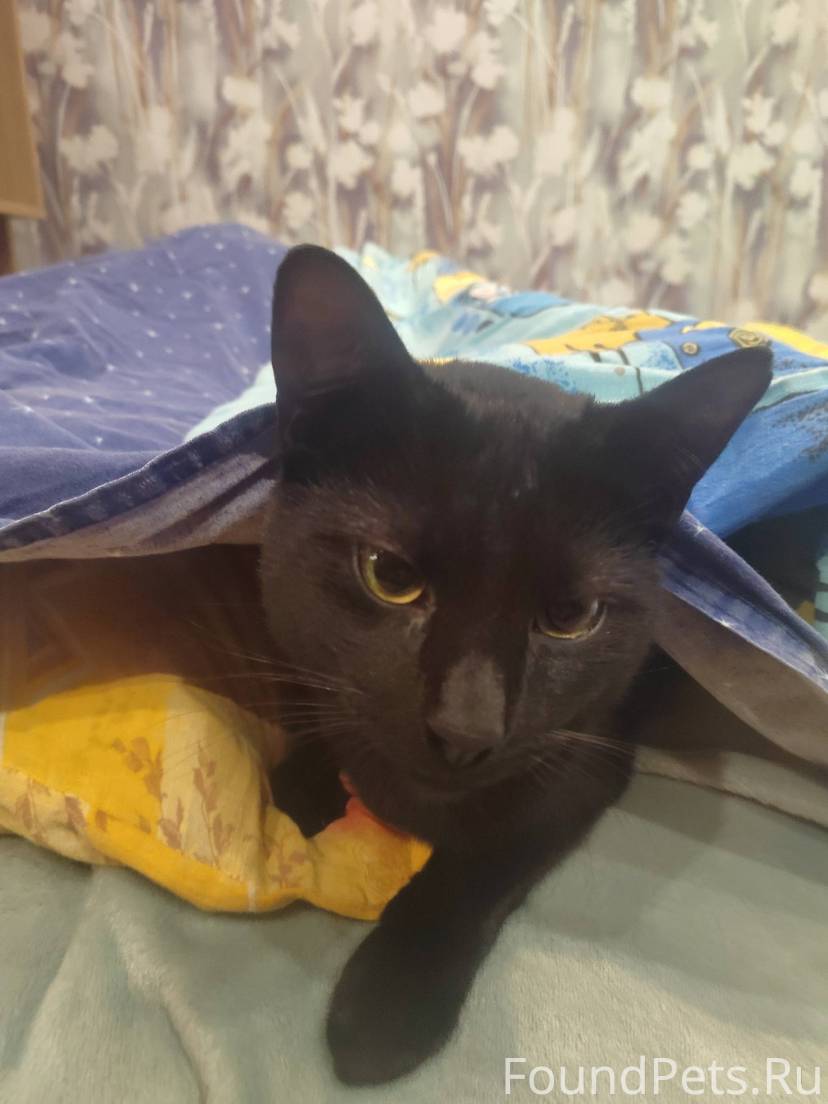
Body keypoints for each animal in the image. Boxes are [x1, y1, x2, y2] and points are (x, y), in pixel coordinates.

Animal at [260, 245, 772, 1085]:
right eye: (390, 576)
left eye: (570, 617)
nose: (465, 729)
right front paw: (296, 789)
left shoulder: (585, 754)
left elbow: (484, 858)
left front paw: (386, 1005)